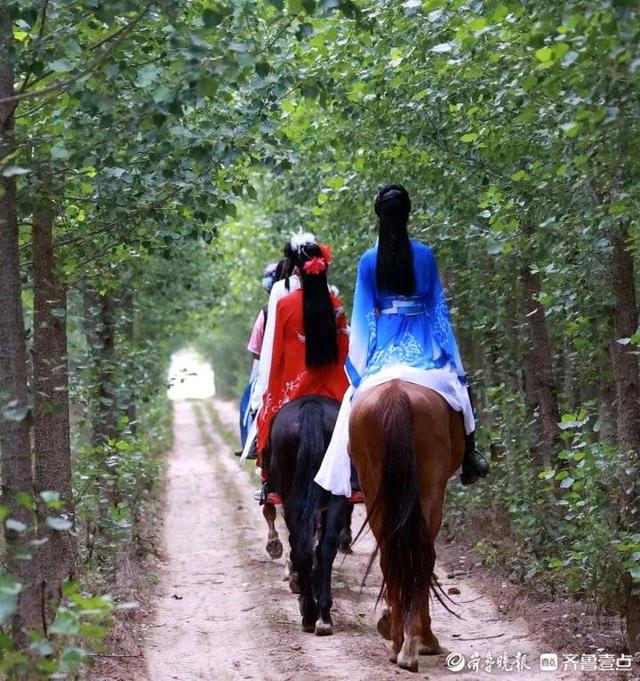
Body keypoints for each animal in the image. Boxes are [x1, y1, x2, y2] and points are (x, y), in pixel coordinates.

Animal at [350, 380, 464, 672]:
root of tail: (396, 393)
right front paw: (426, 640)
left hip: (375, 490)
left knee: (389, 555)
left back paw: (397, 643)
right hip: (430, 490)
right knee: (423, 556)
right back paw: (415, 646)